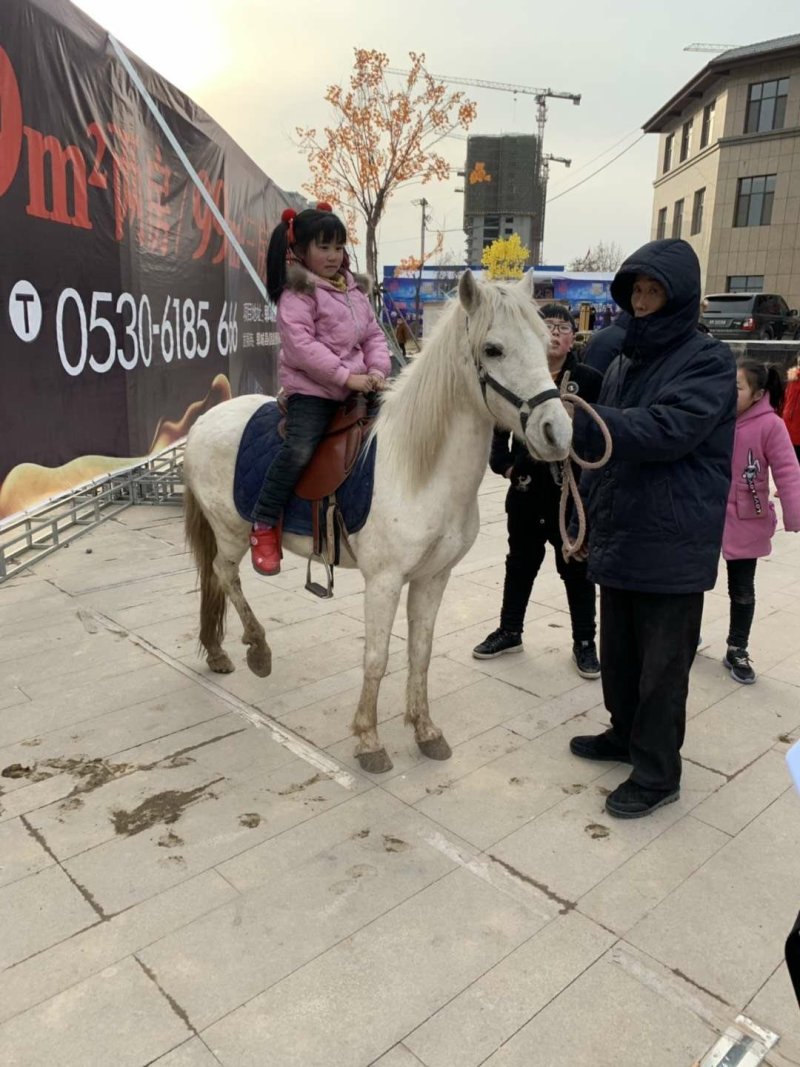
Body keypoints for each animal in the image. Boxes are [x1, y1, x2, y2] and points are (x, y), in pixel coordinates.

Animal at [182, 269, 573, 774]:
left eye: (546, 342)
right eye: (493, 349)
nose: (557, 433)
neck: (418, 467)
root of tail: (203, 421)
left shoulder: (433, 577)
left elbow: (420, 653)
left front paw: (425, 730)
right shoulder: (384, 581)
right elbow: (377, 657)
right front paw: (369, 740)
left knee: (213, 581)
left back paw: (217, 653)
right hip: (230, 532)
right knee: (224, 575)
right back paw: (258, 648)